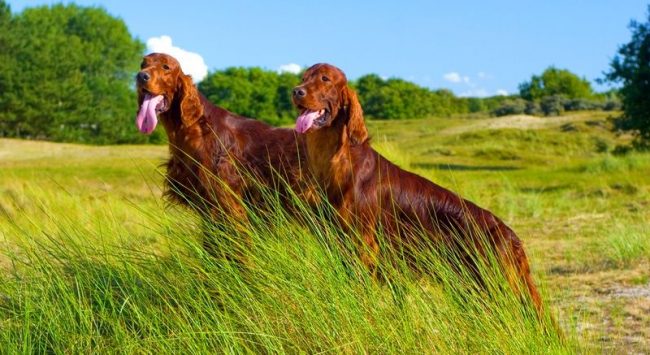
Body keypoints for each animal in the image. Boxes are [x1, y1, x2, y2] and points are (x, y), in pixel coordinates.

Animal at [292, 64, 540, 318]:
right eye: (304, 78)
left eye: (325, 79)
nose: (296, 91)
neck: (339, 161)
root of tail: (511, 236)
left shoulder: (363, 245)